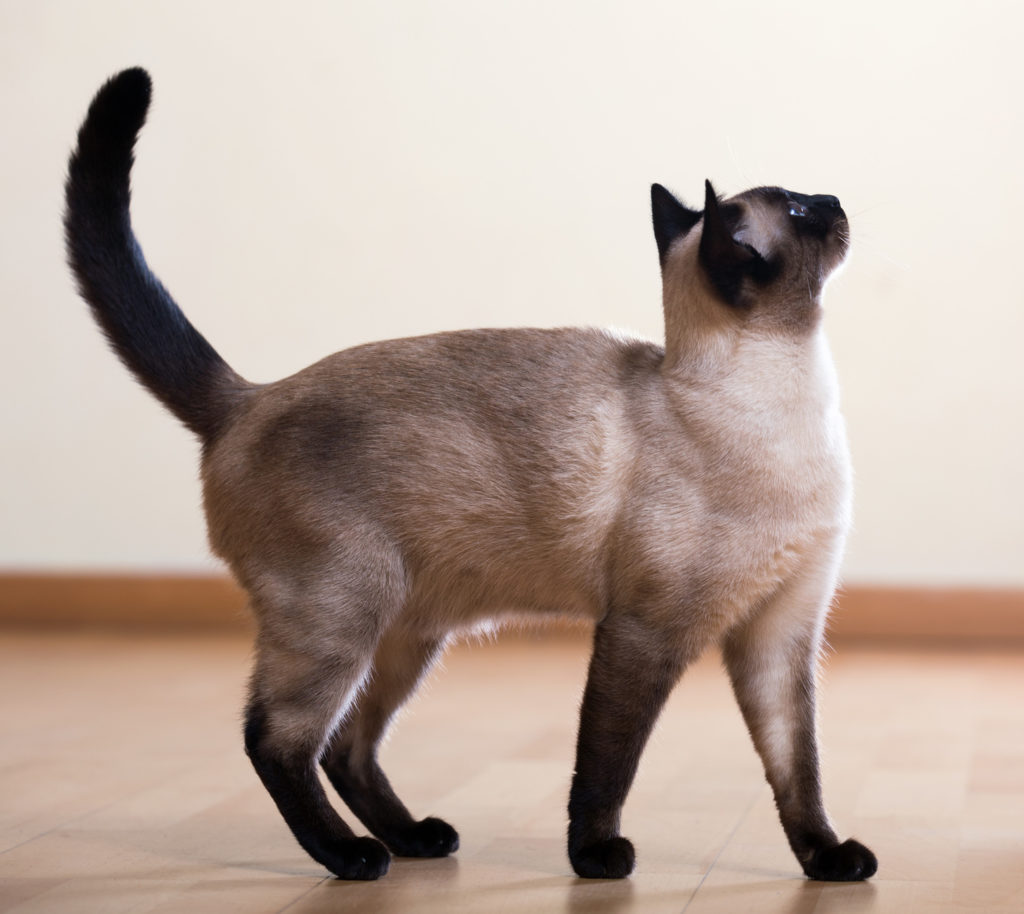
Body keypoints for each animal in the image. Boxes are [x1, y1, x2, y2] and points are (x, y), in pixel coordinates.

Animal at [66, 69, 880, 884]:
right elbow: (606, 765)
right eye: (800, 211)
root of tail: (248, 397)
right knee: (276, 738)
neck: (792, 403)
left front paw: (829, 859)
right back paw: (352, 857)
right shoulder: (644, 634)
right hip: (341, 617)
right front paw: (596, 858)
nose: (838, 198)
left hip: (408, 634)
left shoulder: (780, 635)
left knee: (346, 745)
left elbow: (798, 770)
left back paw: (416, 839)